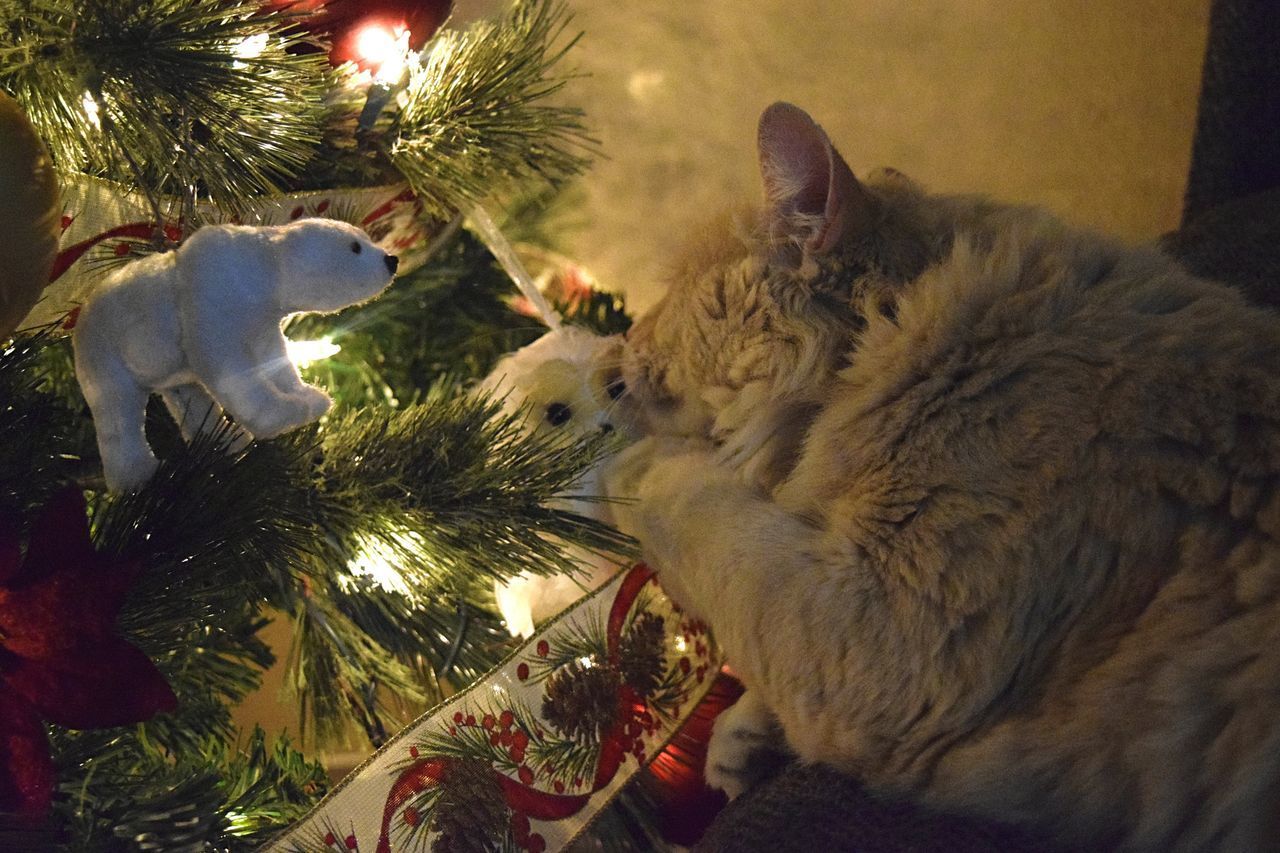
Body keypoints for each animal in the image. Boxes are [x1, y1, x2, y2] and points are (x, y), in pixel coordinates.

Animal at [604, 103, 1280, 845]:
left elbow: (705, 521)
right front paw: (745, 734)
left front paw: (621, 466)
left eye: (672, 286)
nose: (619, 343)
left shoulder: (887, 635)